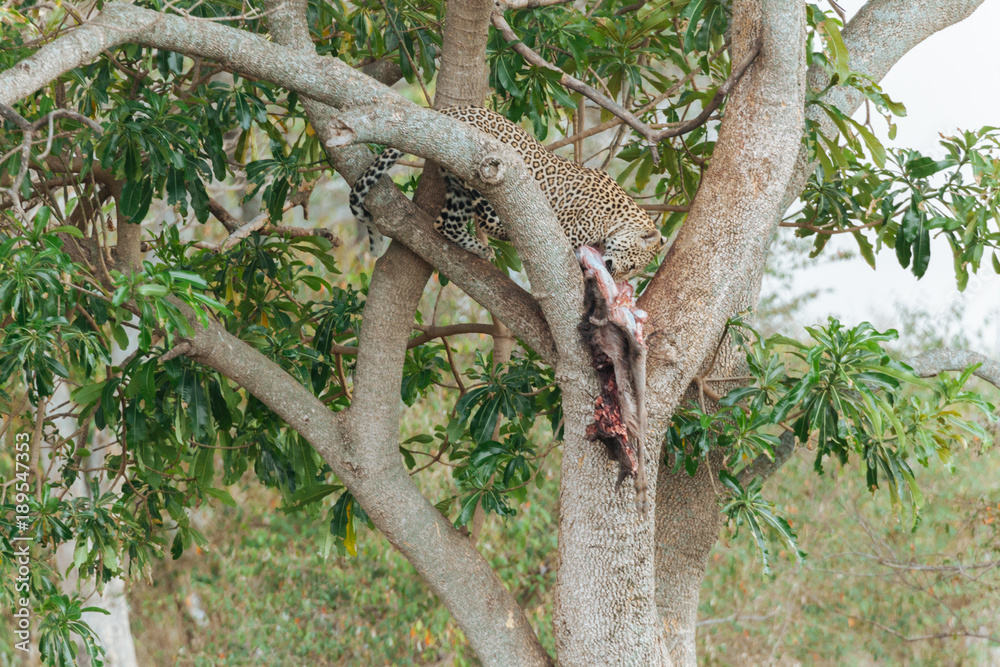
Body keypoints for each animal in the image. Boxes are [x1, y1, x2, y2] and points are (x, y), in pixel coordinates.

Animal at [349, 106, 667, 281]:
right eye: (632, 265)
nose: (615, 274)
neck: (618, 219)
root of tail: (451, 111)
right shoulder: (566, 232)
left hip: (457, 187)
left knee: (445, 224)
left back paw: (479, 248)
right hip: (479, 169)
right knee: (486, 219)